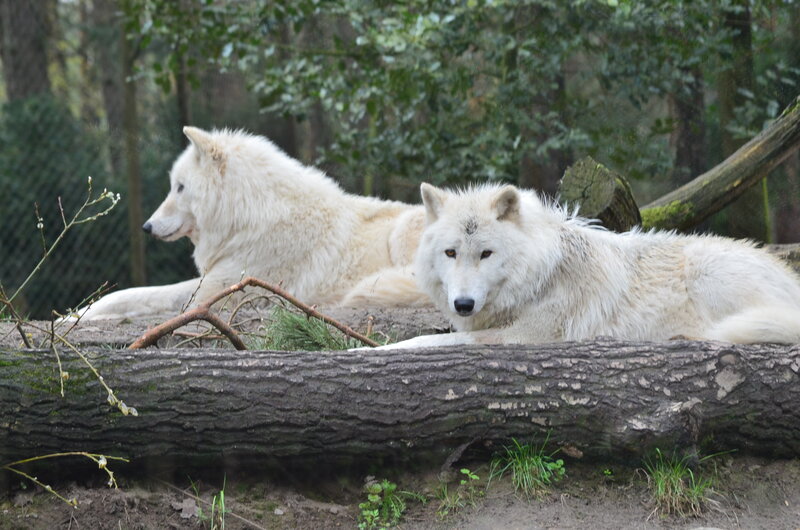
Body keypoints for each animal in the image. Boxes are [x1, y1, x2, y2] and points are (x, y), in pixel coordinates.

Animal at [78, 127, 427, 320]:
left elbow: (152, 298)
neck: (248, 218)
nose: (147, 227)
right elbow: (130, 294)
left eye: (180, 187)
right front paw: (78, 314)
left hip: (402, 235)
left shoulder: (216, 290)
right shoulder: (212, 282)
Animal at [381, 182, 800, 348]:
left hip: (706, 269)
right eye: (451, 253)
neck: (540, 274)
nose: (463, 305)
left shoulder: (524, 338)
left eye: (486, 254)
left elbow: (425, 342)